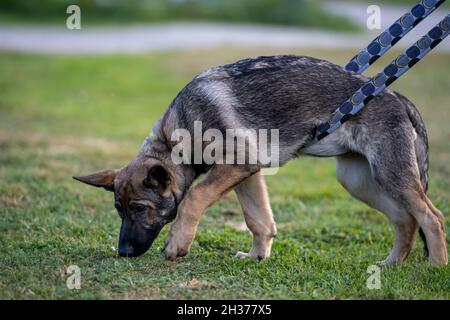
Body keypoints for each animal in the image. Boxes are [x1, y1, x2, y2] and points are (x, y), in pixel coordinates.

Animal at [74, 55, 446, 264]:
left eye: (140, 209)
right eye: (119, 210)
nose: (123, 252)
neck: (178, 135)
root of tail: (399, 98)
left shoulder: (237, 165)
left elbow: (194, 197)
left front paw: (178, 243)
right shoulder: (248, 174)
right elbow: (259, 220)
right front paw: (257, 257)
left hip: (391, 176)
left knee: (432, 217)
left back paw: (435, 268)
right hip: (361, 182)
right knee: (406, 220)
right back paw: (392, 264)